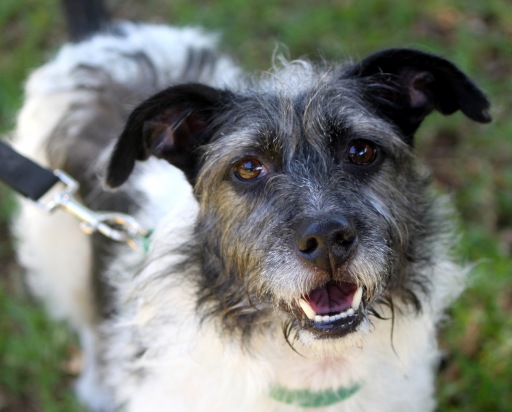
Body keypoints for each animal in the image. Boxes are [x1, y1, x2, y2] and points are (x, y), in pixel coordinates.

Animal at [11, 1, 492, 410]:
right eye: (247, 167)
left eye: (361, 150)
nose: (326, 240)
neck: (316, 367)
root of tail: (104, 37)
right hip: (59, 258)